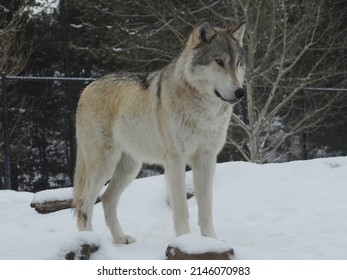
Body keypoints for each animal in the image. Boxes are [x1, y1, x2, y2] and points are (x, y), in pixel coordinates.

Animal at [72, 20, 247, 244]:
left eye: (238, 64)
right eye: (219, 62)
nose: (240, 92)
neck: (204, 111)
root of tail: (87, 88)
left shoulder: (207, 158)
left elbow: (206, 207)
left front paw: (211, 240)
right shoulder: (175, 159)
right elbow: (181, 207)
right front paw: (186, 241)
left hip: (130, 168)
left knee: (107, 199)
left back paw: (121, 238)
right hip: (104, 165)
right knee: (83, 204)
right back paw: (88, 241)